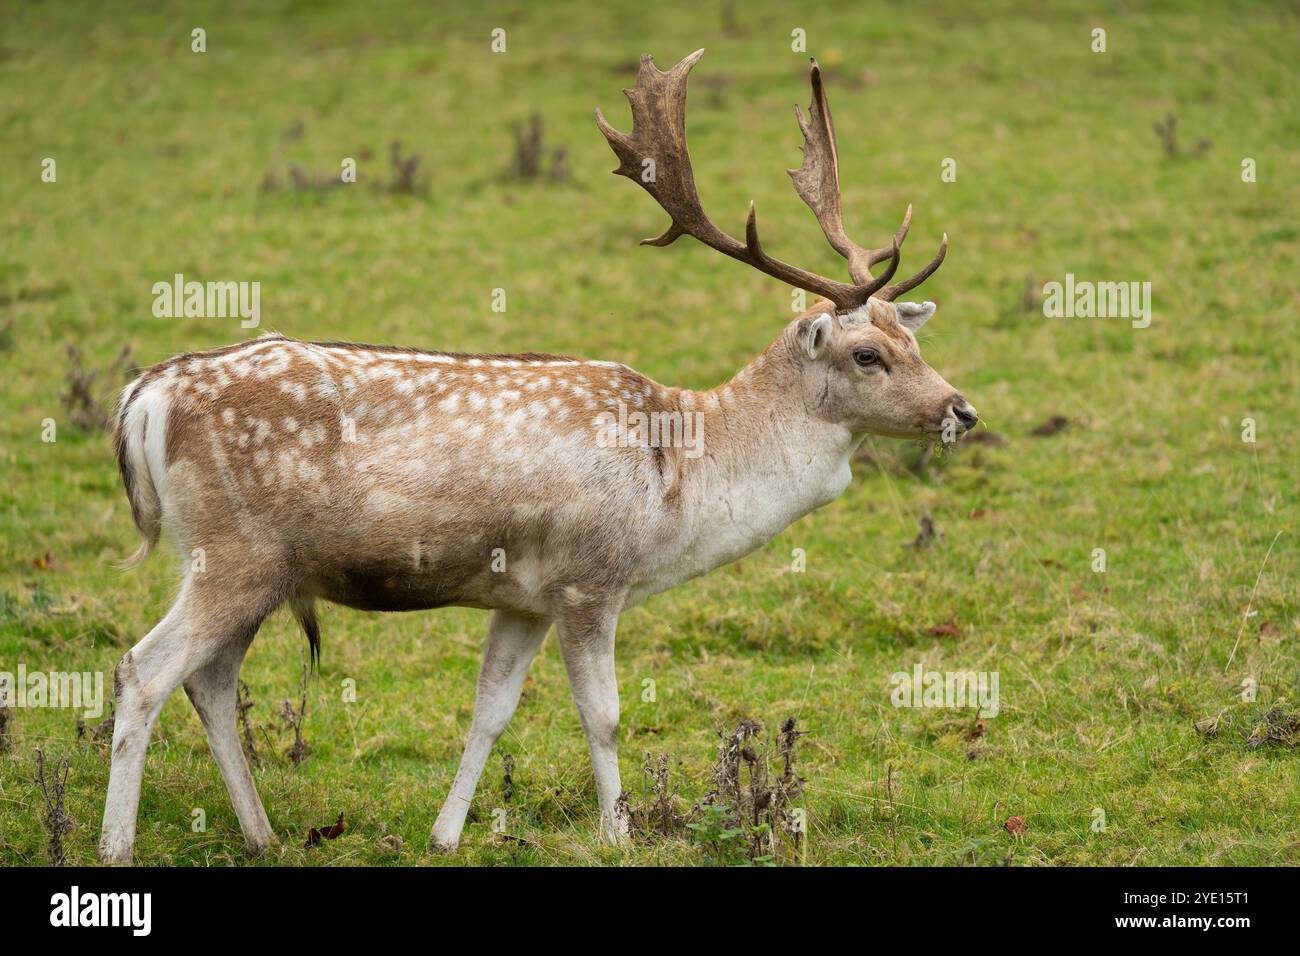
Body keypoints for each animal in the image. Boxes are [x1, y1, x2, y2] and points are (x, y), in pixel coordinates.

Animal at [98, 48, 977, 863]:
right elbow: (606, 714)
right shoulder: (591, 579)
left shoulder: (522, 597)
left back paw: (262, 835)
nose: (961, 410)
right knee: (144, 668)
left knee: (210, 680)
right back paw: (117, 845)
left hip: (251, 566)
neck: (682, 481)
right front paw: (619, 832)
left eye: (914, 340)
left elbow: (490, 710)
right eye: (868, 354)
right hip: (234, 551)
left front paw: (445, 834)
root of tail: (142, 399)